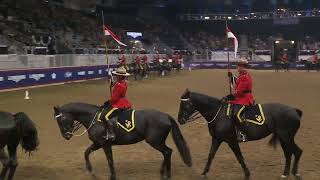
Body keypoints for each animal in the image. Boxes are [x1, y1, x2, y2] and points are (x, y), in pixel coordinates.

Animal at [53, 102, 191, 180]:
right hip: (157, 141)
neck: (93, 118)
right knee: (167, 152)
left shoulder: (105, 144)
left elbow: (110, 160)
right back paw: (162, 172)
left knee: (167, 152)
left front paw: (112, 176)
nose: (66, 136)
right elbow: (86, 153)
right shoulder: (97, 144)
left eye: (61, 119)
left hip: (154, 141)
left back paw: (167, 174)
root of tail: (166, 116)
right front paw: (91, 171)